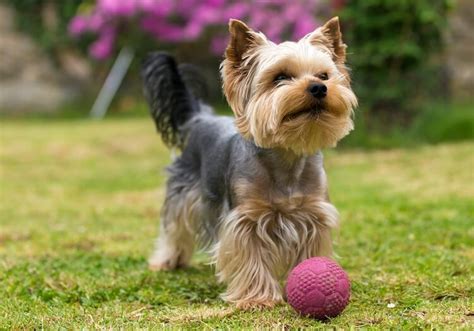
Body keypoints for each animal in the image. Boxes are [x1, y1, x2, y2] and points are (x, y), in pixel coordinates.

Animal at [143, 17, 358, 308]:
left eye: (324, 75)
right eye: (280, 77)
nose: (319, 88)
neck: (287, 155)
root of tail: (200, 117)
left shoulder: (313, 214)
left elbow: (309, 249)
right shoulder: (246, 219)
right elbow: (250, 256)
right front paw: (257, 298)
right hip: (183, 192)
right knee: (175, 226)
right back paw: (167, 261)